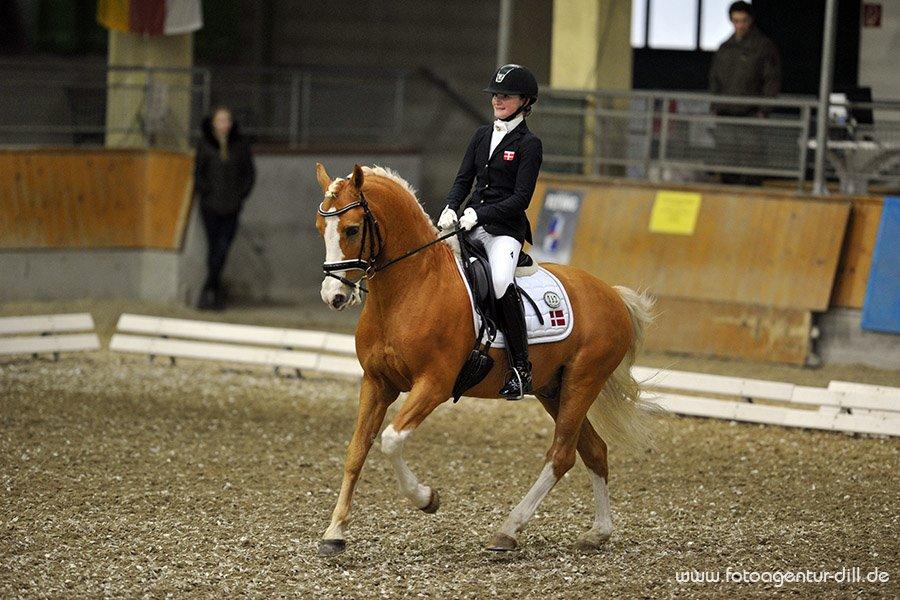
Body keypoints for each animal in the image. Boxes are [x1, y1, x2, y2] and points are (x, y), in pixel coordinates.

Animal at [313, 163, 655, 556]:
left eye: (352, 229)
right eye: (320, 228)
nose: (333, 296)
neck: (411, 288)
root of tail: (611, 294)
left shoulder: (434, 384)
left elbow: (392, 439)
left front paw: (427, 499)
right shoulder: (376, 383)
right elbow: (357, 450)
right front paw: (334, 533)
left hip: (583, 382)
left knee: (561, 454)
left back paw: (508, 530)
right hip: (555, 389)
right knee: (593, 451)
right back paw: (598, 533)